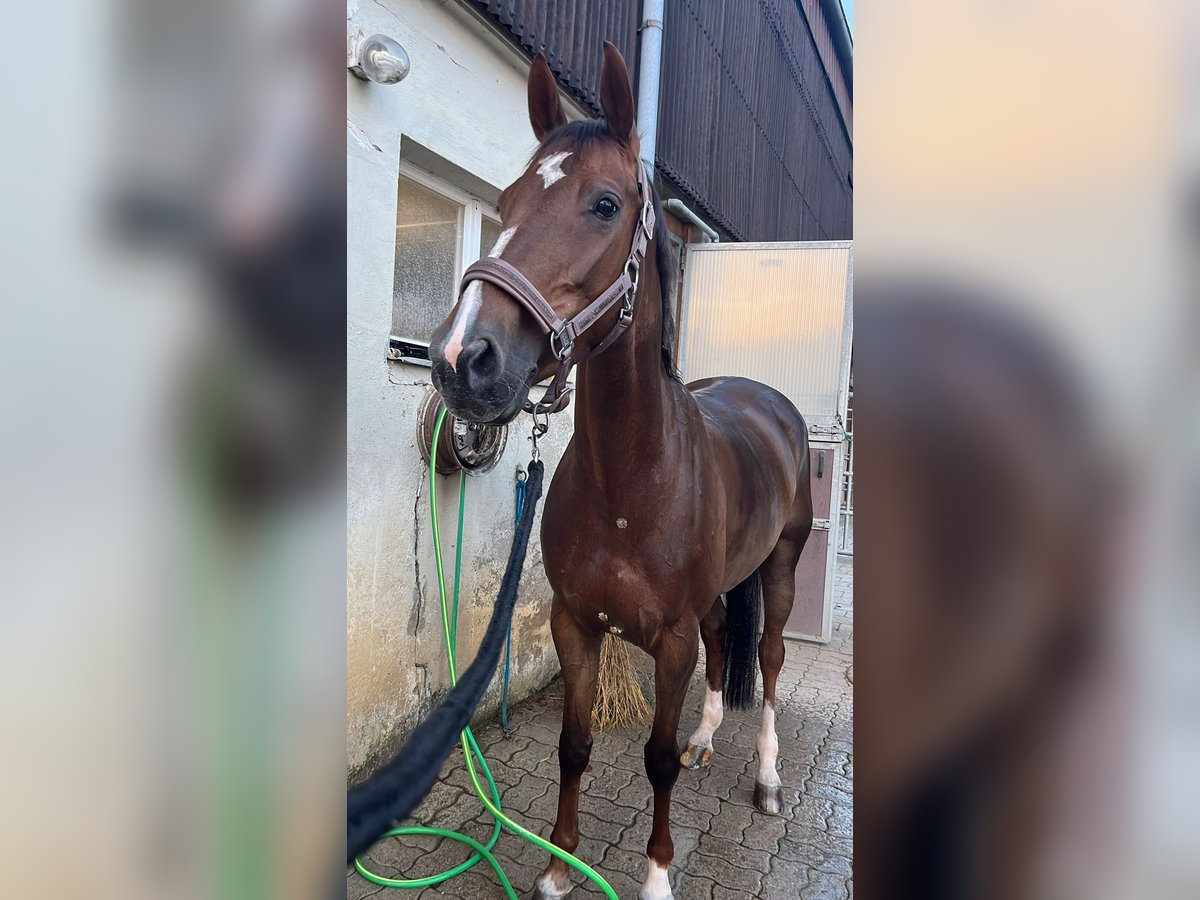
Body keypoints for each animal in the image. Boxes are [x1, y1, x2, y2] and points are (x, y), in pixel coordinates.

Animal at [429, 43, 813, 900]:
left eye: (604, 204)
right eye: (504, 200)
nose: (462, 358)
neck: (632, 481)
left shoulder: (665, 643)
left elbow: (655, 761)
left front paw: (658, 876)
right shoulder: (575, 622)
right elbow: (574, 744)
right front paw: (555, 868)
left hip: (781, 564)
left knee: (769, 661)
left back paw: (768, 779)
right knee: (723, 645)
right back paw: (709, 737)